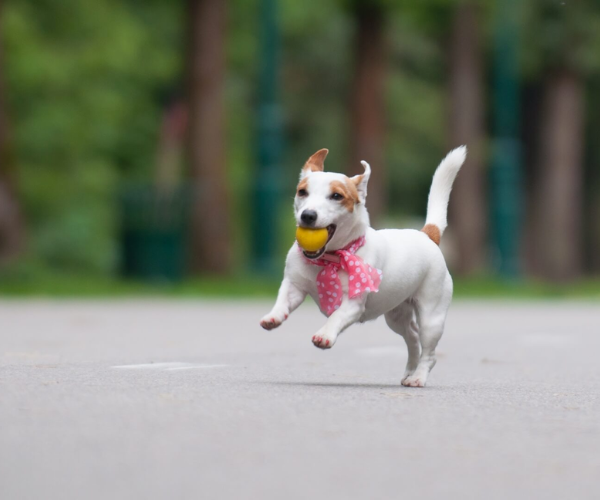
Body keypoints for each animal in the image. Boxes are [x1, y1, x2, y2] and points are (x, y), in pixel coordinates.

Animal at [260, 146, 466, 388]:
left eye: (337, 196)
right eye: (302, 192)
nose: (308, 215)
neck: (329, 258)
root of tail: (427, 235)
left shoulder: (353, 303)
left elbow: (336, 316)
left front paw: (325, 335)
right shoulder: (294, 286)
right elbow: (284, 300)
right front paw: (274, 316)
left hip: (431, 317)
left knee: (429, 352)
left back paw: (418, 377)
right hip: (396, 316)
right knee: (413, 337)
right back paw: (410, 371)